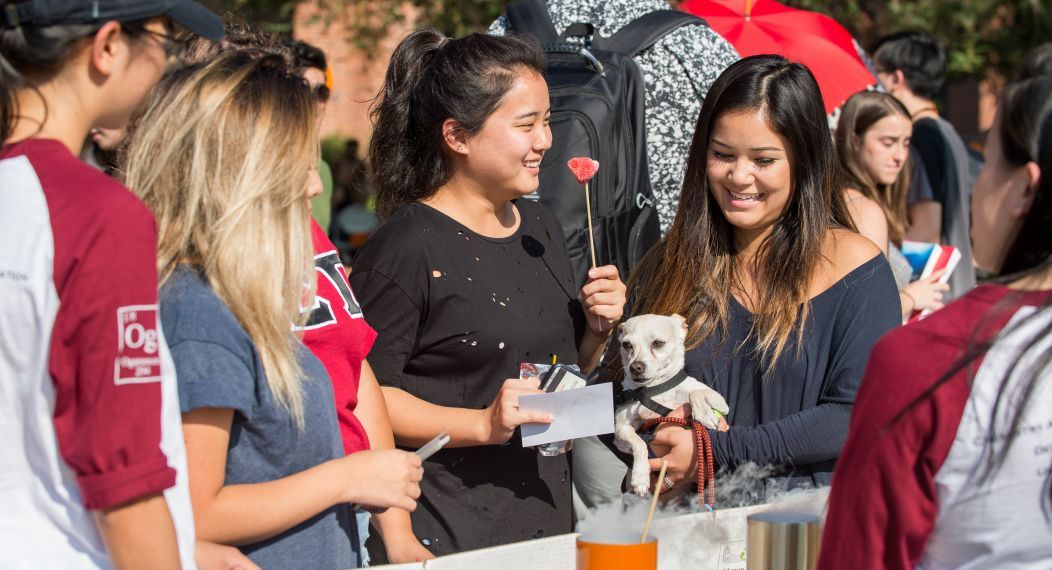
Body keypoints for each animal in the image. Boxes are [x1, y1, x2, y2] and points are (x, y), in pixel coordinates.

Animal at [614, 313, 727, 496]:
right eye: (627, 345)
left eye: (658, 343)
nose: (635, 367)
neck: (654, 388)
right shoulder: (621, 431)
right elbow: (639, 444)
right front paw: (640, 475)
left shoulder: (721, 401)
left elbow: (696, 393)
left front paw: (703, 414)